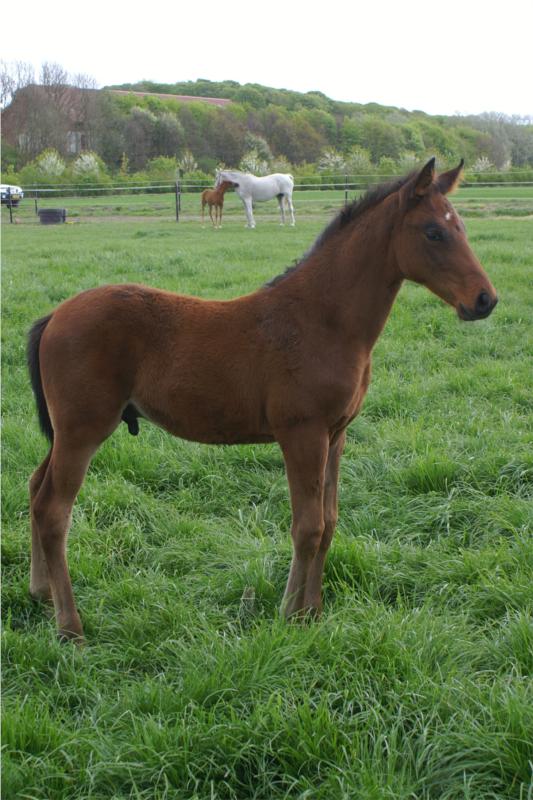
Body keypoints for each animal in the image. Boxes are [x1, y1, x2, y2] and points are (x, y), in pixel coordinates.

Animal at [28, 159, 494, 640]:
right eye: (433, 233)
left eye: (460, 226)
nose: (484, 300)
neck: (321, 319)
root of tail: (54, 315)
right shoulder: (302, 434)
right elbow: (307, 526)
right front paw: (292, 616)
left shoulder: (336, 435)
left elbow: (329, 522)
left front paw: (314, 613)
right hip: (83, 430)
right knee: (53, 510)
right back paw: (70, 627)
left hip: (67, 432)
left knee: (35, 489)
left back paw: (40, 592)